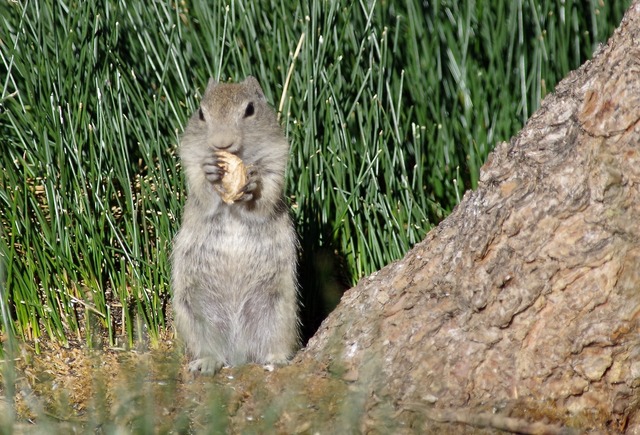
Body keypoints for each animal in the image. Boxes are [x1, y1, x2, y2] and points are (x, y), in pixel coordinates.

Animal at [171, 76, 298, 376]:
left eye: (250, 109)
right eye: (201, 113)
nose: (221, 143)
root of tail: (239, 350)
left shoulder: (276, 162)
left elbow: (265, 198)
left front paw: (252, 185)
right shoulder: (191, 163)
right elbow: (203, 192)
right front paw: (210, 171)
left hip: (279, 308)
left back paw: (276, 359)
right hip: (191, 310)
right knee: (211, 349)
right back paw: (207, 362)